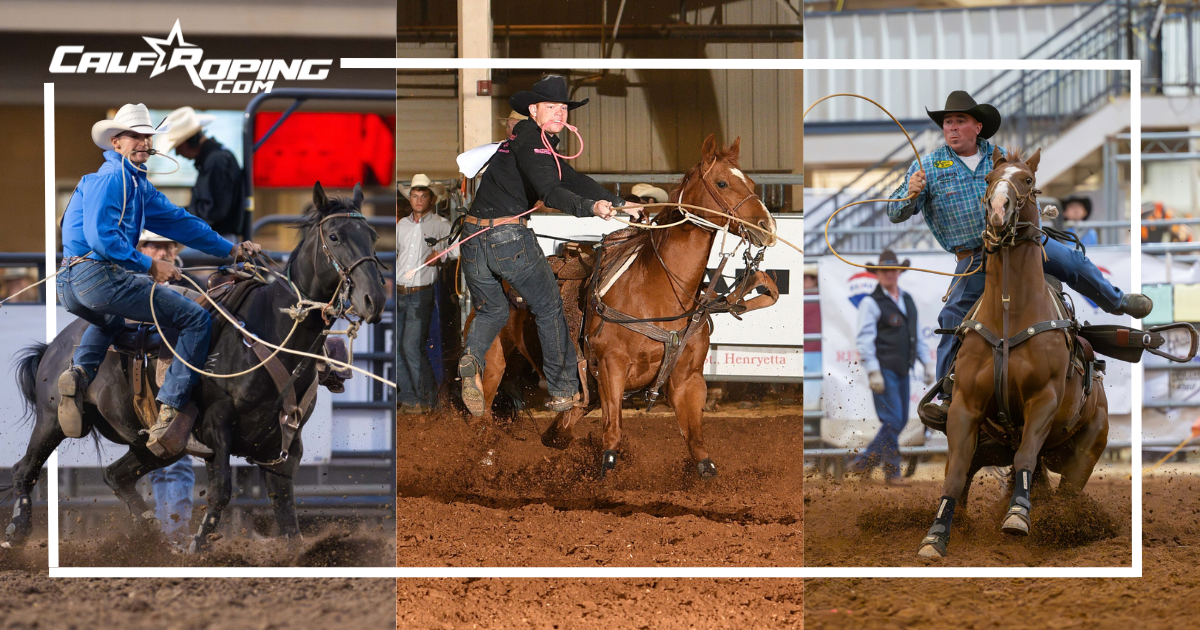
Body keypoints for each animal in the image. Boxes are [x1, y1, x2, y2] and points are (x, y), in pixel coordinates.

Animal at [4, 180, 386, 549]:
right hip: (52, 420)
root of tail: (55, 345)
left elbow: (286, 511)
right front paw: (197, 548)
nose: (375, 300)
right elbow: (221, 494)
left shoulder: (287, 441)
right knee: (25, 470)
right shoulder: (218, 428)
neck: (272, 335)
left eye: (372, 236)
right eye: (334, 237)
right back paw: (16, 534)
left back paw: (153, 538)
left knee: (116, 475)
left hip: (153, 446)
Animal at [468, 133, 777, 477]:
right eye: (722, 183)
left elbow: (699, 448)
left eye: (751, 181)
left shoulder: (689, 379)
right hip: (493, 362)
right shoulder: (611, 367)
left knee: (558, 425)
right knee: (482, 417)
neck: (658, 290)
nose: (766, 226)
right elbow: (612, 436)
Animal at [916, 150, 1113, 556]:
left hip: (1085, 453)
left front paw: (1017, 516)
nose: (997, 209)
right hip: (989, 447)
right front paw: (936, 535)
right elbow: (954, 474)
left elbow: (1025, 456)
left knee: (1064, 492)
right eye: (989, 179)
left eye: (1027, 179)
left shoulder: (1043, 400)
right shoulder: (965, 407)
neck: (1010, 315)